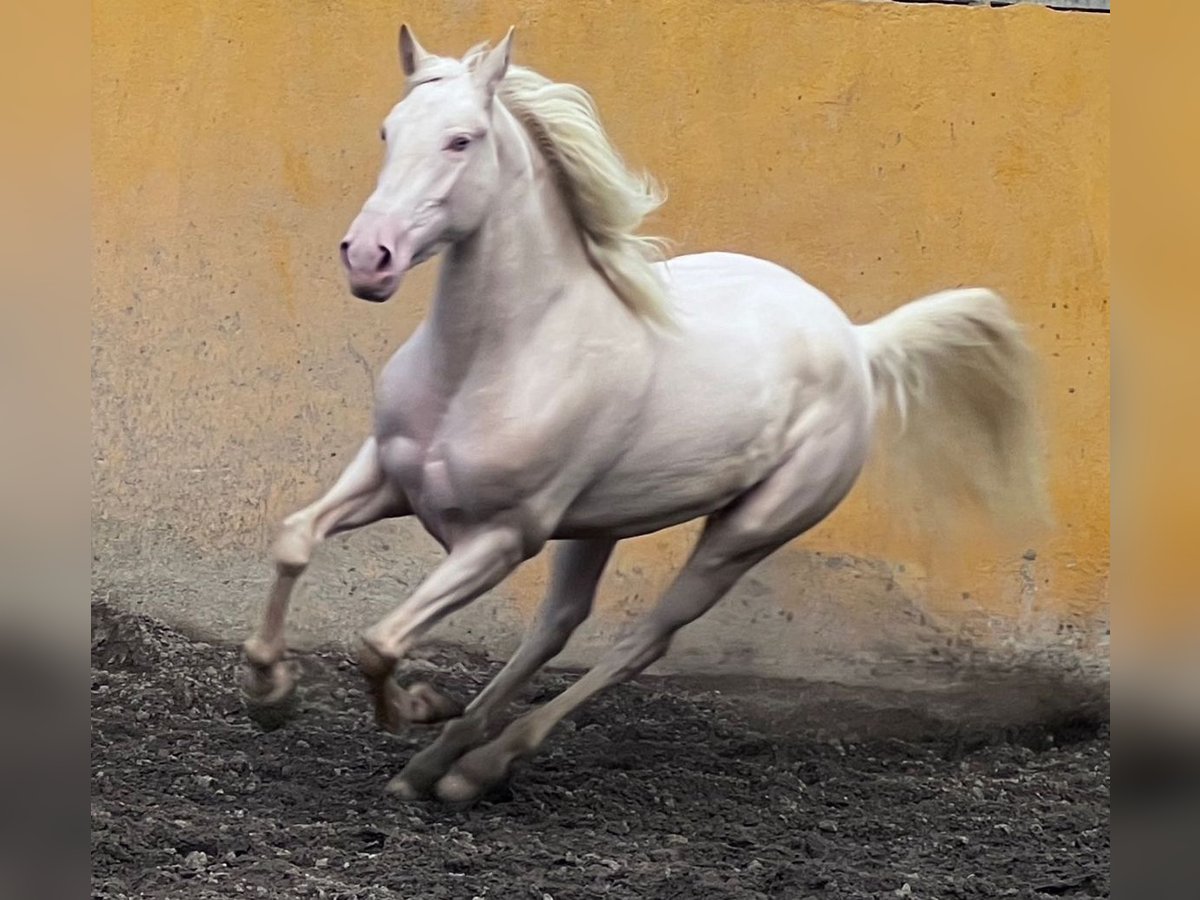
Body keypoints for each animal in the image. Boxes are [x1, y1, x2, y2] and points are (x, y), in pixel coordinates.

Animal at [241, 26, 1041, 801]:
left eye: (461, 140)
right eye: (388, 130)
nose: (367, 257)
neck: (490, 360)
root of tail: (856, 340)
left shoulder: (500, 537)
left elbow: (378, 642)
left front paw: (416, 705)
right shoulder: (388, 476)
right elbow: (295, 540)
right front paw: (271, 696)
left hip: (745, 534)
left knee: (642, 641)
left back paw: (477, 766)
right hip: (598, 526)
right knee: (556, 627)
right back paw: (436, 761)